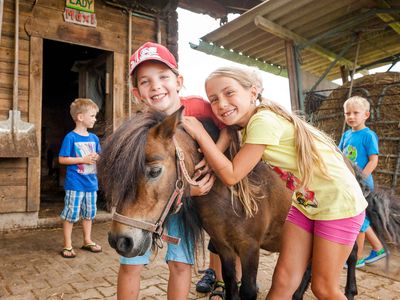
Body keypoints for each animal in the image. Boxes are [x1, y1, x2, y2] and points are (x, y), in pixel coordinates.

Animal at [98, 108, 368, 300]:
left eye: (154, 171)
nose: (119, 240)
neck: (230, 193)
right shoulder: (224, 246)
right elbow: (230, 284)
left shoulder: (249, 248)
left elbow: (247, 289)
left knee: (351, 256)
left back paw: (350, 291)